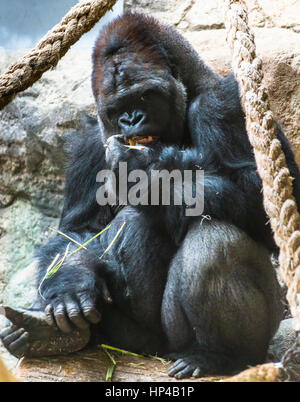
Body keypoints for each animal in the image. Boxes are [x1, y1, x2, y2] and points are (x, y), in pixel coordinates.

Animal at [0, 11, 300, 376]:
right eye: (118, 108)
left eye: (144, 96)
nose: (131, 119)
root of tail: (156, 353)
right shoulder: (89, 140)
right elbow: (77, 231)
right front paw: (71, 284)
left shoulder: (225, 102)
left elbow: (265, 202)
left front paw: (147, 172)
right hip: (139, 343)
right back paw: (49, 336)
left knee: (214, 241)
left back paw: (217, 355)